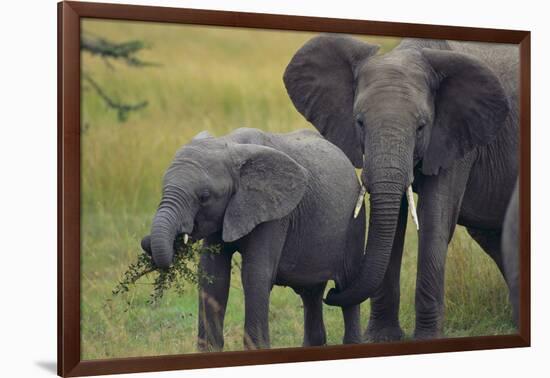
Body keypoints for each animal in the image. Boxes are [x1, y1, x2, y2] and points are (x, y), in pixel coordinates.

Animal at [284, 34, 520, 340]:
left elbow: (434, 221)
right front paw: (380, 338)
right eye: (360, 122)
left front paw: (426, 338)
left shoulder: (456, 136)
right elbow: (393, 224)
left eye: (421, 127)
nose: (332, 291)